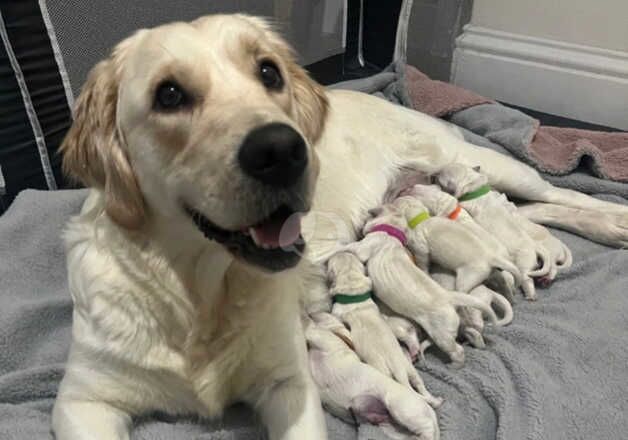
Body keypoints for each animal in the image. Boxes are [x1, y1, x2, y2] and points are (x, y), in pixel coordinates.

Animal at [306, 316, 440, 440]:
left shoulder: (320, 338)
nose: (312, 314)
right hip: (390, 427)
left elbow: (310, 330)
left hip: (402, 410)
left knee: (427, 429)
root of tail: (430, 411)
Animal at [324, 251, 442, 406]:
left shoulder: (337, 313)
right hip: (409, 368)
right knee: (420, 385)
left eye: (331, 261)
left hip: (383, 371)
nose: (341, 251)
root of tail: (399, 374)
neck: (353, 289)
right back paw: (435, 400)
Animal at [338, 203, 496, 364]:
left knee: (457, 351)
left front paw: (338, 248)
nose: (361, 228)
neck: (392, 231)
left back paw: (455, 363)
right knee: (472, 334)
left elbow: (351, 248)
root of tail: (448, 297)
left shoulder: (366, 245)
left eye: (367, 219)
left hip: (442, 333)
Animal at [436, 163, 556, 300]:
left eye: (440, 176)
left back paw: (530, 295)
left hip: (524, 263)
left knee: (527, 278)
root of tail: (534, 246)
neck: (473, 186)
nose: (434, 174)